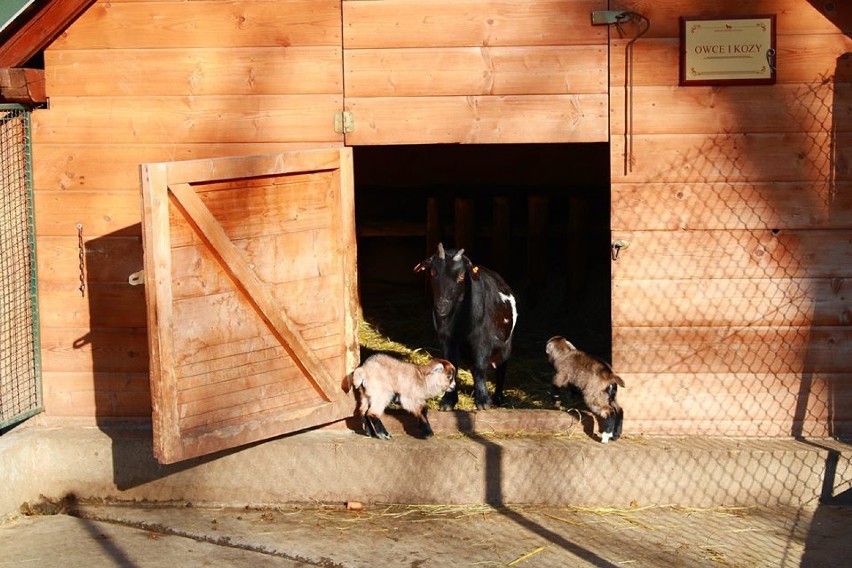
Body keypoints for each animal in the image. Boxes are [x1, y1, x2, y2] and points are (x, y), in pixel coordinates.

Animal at [414, 242, 520, 410]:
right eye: (433, 272)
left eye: (461, 276)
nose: (441, 306)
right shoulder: (446, 339)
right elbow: (453, 365)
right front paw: (448, 401)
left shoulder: (483, 340)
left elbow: (480, 367)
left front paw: (483, 402)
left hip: (506, 345)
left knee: (501, 367)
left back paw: (498, 398)